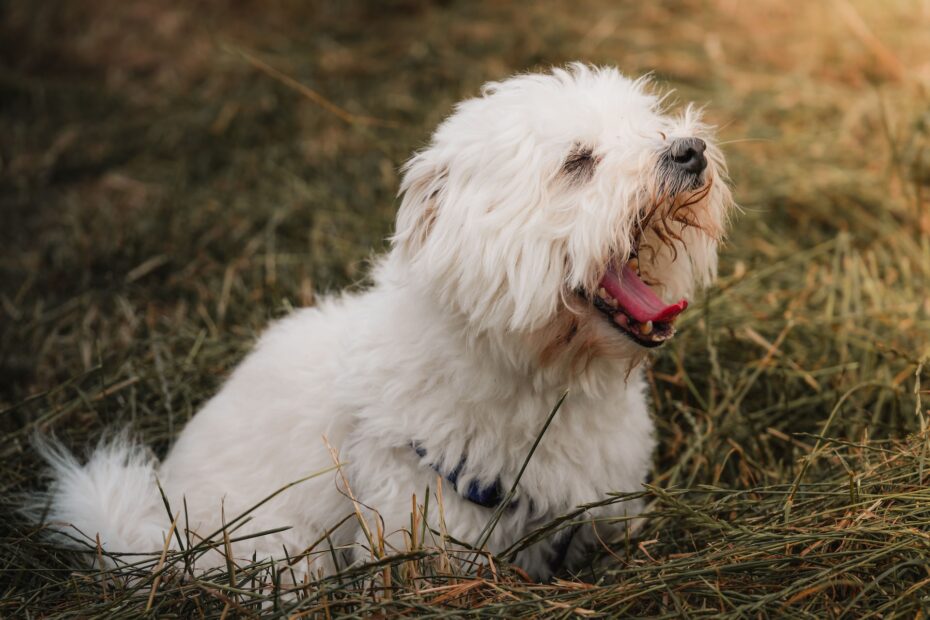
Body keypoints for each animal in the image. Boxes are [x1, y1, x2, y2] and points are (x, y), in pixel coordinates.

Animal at [38, 64, 732, 580]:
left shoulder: (603, 513)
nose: (689, 149)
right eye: (578, 161)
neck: (534, 374)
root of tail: (156, 530)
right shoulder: (424, 533)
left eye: (651, 124)